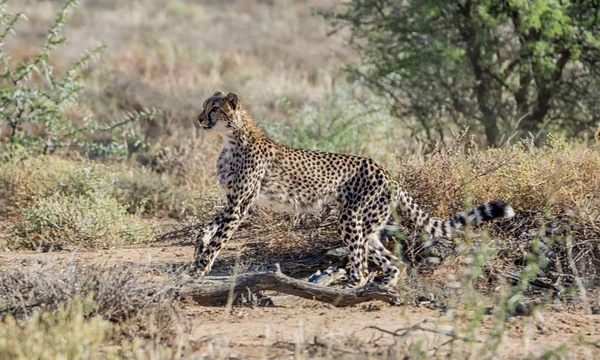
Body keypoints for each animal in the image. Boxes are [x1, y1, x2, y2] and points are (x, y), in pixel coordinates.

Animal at [193, 90, 516, 286]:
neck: (231, 139)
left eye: (214, 109)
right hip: (368, 225)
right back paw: (382, 286)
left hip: (350, 218)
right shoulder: (232, 202)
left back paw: (346, 286)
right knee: (391, 260)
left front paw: (201, 267)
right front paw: (198, 254)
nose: (199, 118)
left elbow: (219, 239)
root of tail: (387, 172)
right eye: (204, 105)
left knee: (360, 266)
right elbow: (206, 228)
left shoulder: (240, 205)